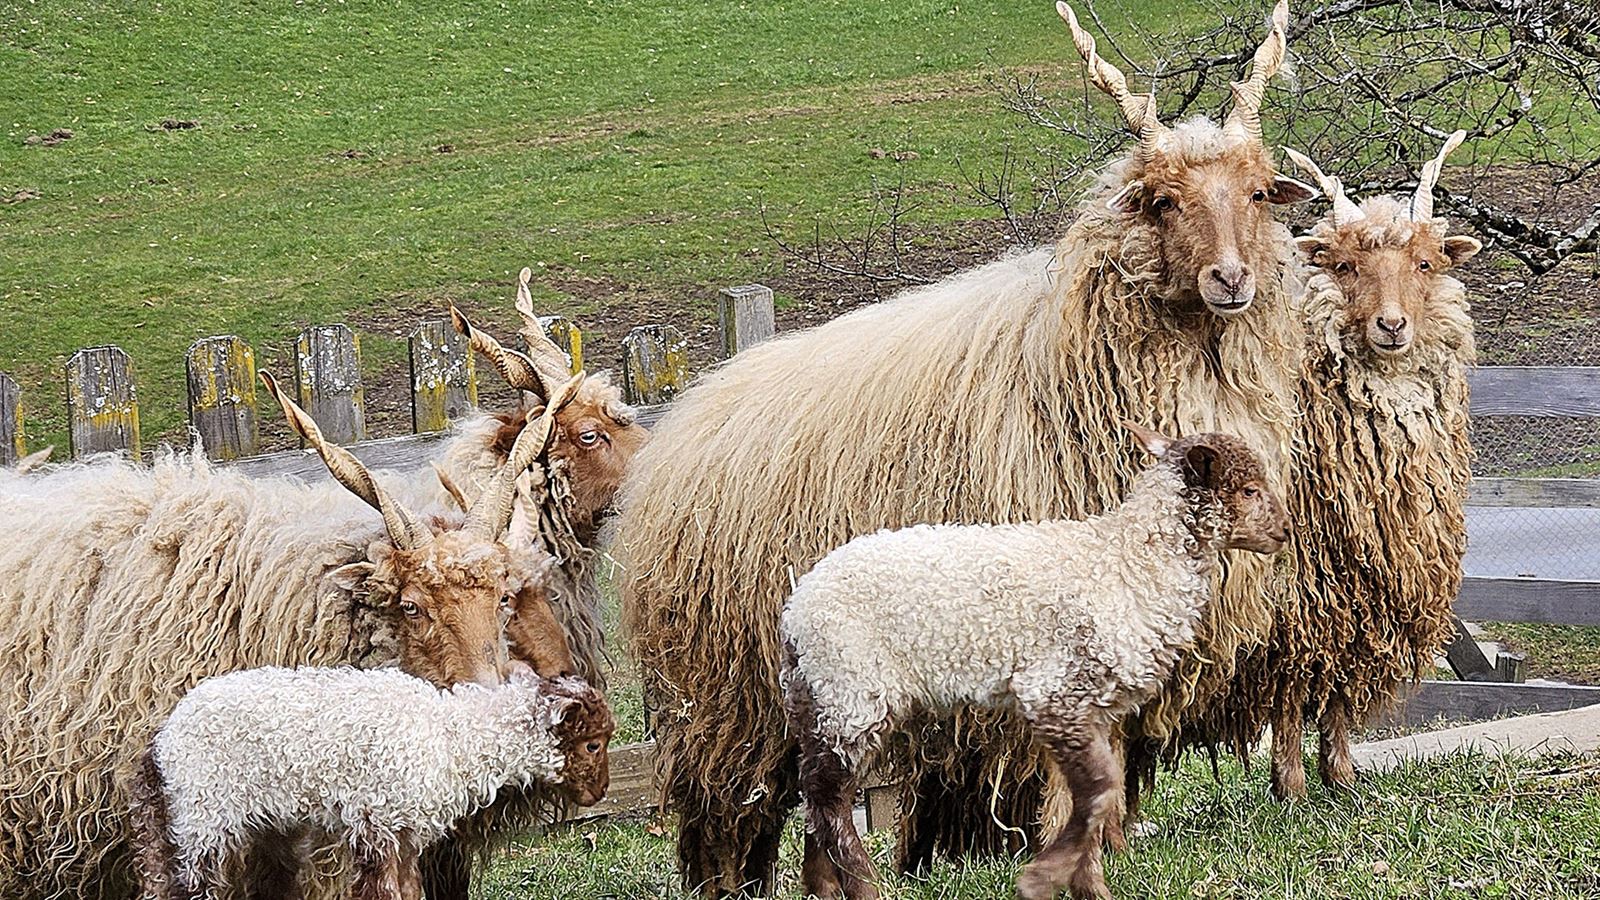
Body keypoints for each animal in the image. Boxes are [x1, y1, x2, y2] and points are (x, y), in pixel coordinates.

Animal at [128, 668, 614, 900]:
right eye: (593, 743)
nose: (601, 791)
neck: (450, 737)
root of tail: (161, 744)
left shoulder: (406, 831)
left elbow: (410, 891)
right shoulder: (375, 820)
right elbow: (383, 893)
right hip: (204, 814)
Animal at [784, 424, 1290, 900]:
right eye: (1249, 489)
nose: (1285, 532)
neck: (1130, 563)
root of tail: (796, 608)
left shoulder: (1092, 710)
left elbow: (1090, 797)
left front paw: (1087, 885)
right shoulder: (1055, 692)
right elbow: (1100, 789)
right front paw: (1045, 878)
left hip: (820, 694)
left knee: (813, 790)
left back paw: (821, 885)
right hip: (851, 685)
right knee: (828, 794)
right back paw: (860, 885)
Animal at [1232, 133, 1479, 800]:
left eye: (1426, 264)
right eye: (1344, 266)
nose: (1391, 325)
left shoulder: (1362, 594)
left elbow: (1342, 684)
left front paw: (1341, 778)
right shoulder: (1291, 598)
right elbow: (1290, 687)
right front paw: (1289, 786)